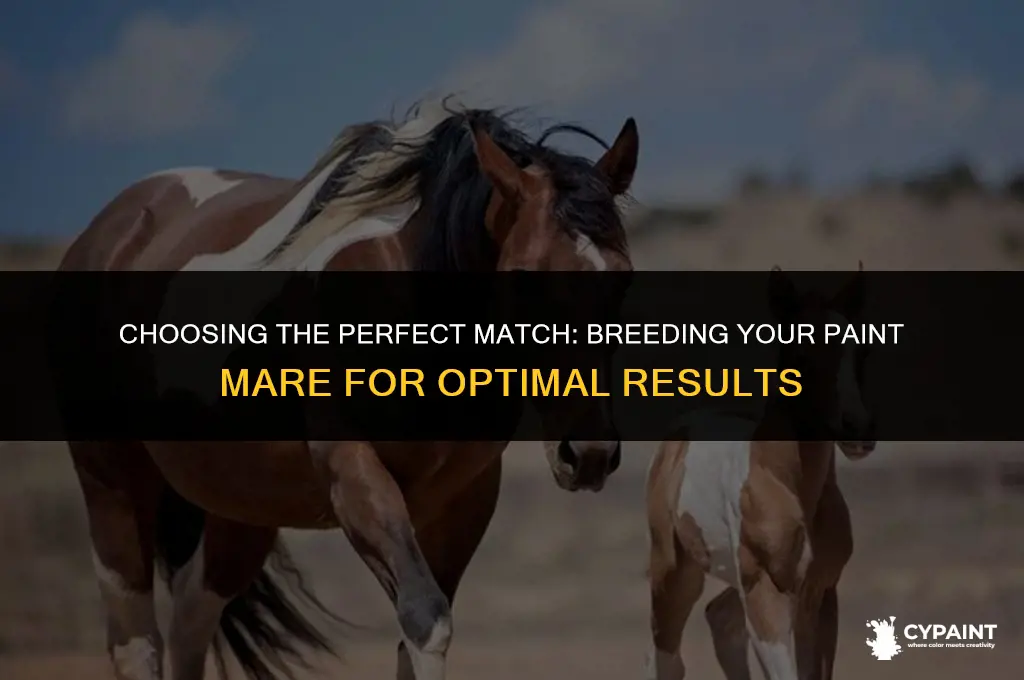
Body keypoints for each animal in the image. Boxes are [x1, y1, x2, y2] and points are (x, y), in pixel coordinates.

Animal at [59, 97, 641, 680]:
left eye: (624, 277)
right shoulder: (355, 475)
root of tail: (107, 230)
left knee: (189, 624)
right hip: (112, 485)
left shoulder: (464, 498)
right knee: (137, 642)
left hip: (240, 511)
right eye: (524, 278)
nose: (588, 454)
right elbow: (426, 621)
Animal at [643, 264, 877, 680]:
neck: (786, 482)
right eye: (802, 353)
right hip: (674, 574)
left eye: (861, 350)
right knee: (666, 656)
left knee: (720, 617)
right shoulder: (766, 590)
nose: (858, 430)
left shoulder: (820, 593)